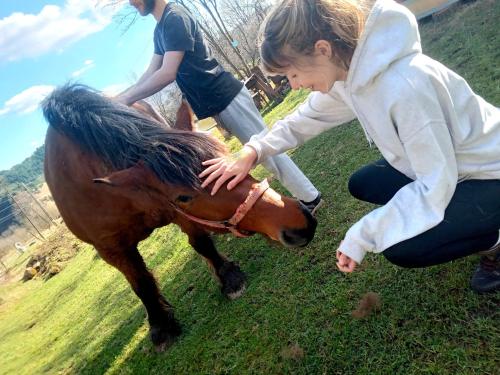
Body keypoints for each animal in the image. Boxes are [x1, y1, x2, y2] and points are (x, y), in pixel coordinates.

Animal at [43, 84, 316, 350]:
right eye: (183, 196)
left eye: (228, 160)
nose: (299, 221)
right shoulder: (111, 248)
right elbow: (141, 283)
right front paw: (161, 326)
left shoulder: (179, 215)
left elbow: (202, 244)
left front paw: (229, 277)